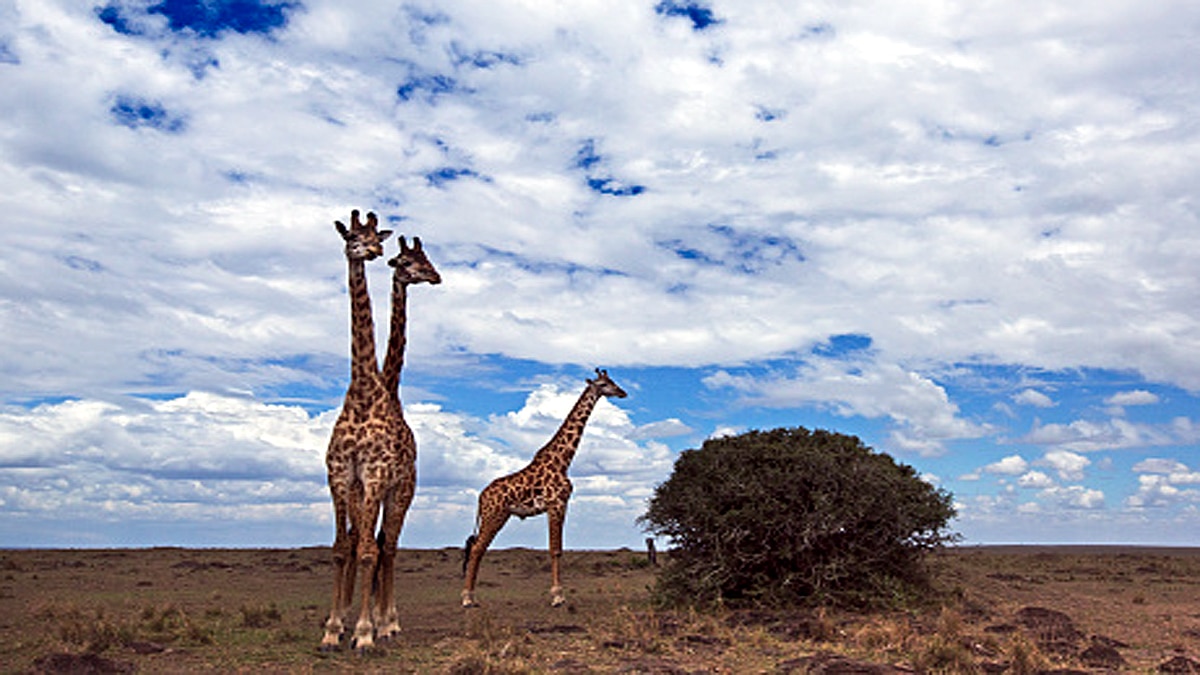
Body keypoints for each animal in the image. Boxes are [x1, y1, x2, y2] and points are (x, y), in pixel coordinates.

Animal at [461, 369, 628, 608]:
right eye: (604, 384)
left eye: (613, 381)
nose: (623, 392)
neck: (563, 462)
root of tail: (481, 497)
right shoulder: (556, 504)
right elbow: (555, 549)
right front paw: (558, 596)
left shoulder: (562, 505)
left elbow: (557, 548)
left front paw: (558, 594)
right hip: (494, 515)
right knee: (476, 549)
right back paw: (467, 598)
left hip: (497, 516)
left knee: (478, 548)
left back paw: (471, 597)